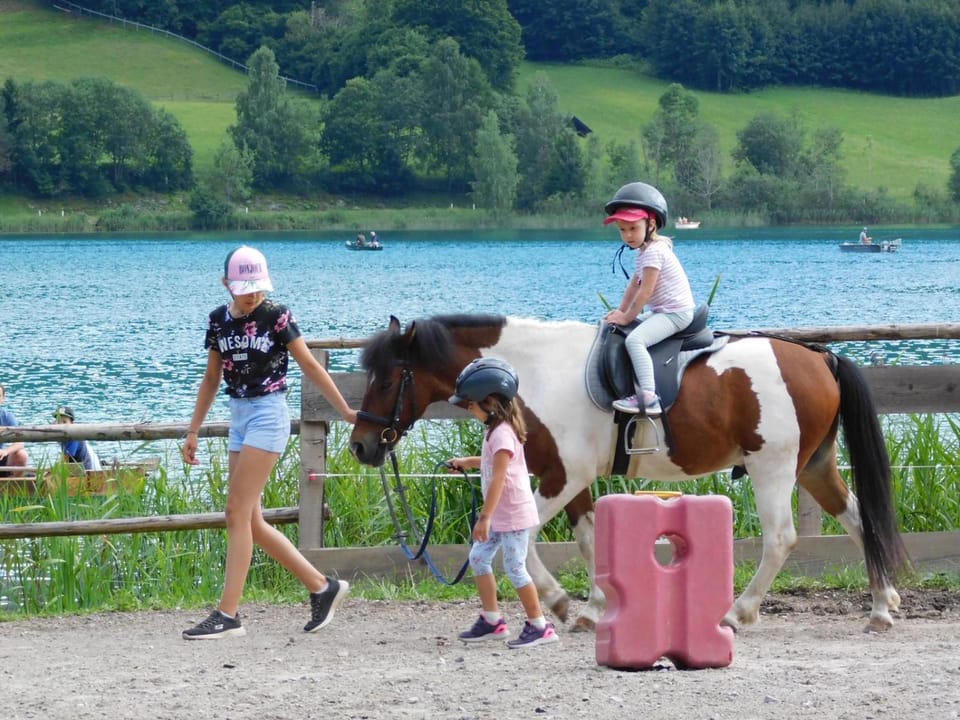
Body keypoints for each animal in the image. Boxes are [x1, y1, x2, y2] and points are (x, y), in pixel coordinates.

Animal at [349, 313, 910, 633]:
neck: (534, 371)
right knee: (860, 521)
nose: (360, 445)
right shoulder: (568, 477)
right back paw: (881, 608)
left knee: (780, 538)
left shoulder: (563, 475)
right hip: (814, 466)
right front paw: (594, 608)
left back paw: (737, 613)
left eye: (388, 377)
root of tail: (821, 358)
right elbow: (587, 538)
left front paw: (562, 604)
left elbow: (523, 543)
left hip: (771, 468)